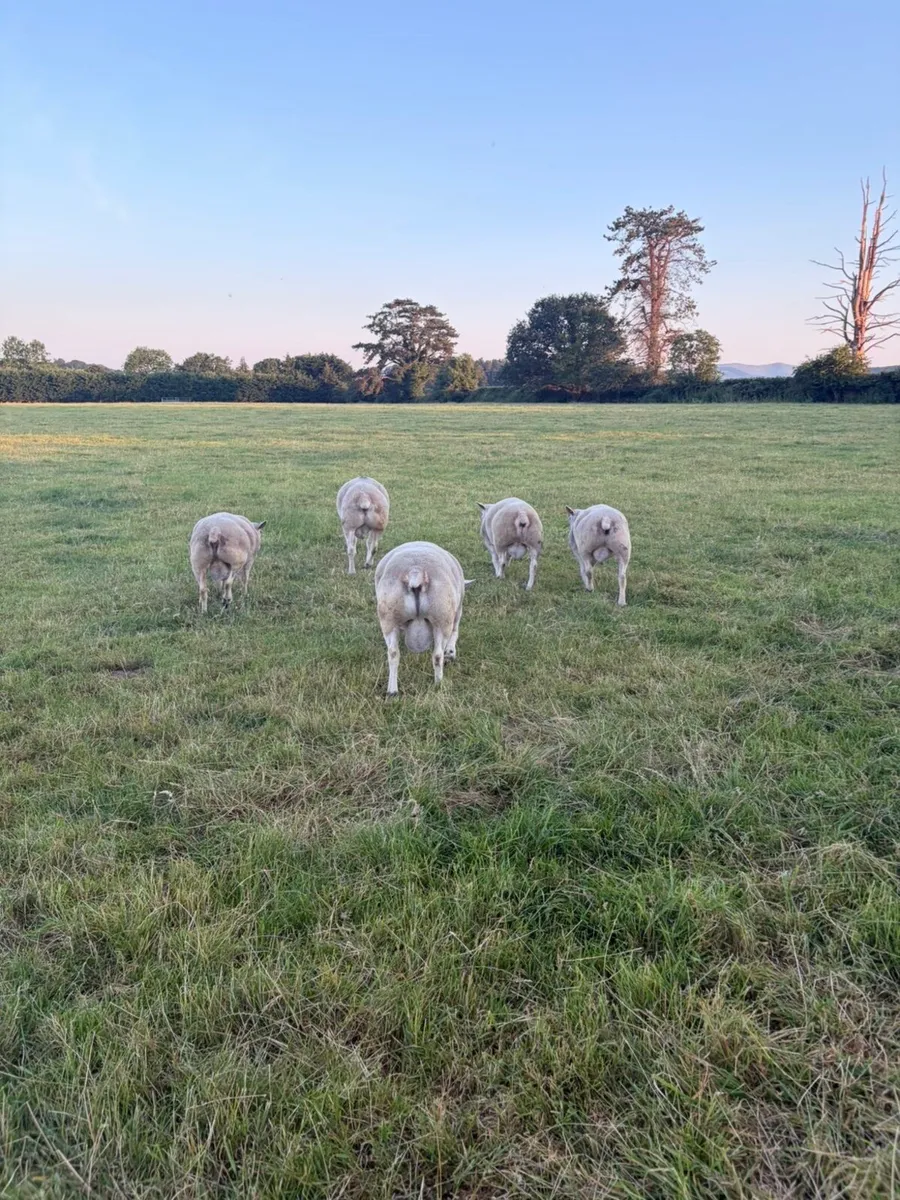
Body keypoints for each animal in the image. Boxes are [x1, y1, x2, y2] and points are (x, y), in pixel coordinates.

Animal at [374, 541, 473, 696]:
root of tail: (416, 571)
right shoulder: (457, 611)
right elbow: (455, 631)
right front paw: (451, 652)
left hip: (388, 617)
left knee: (393, 653)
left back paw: (392, 691)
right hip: (442, 617)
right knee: (438, 655)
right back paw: (439, 684)